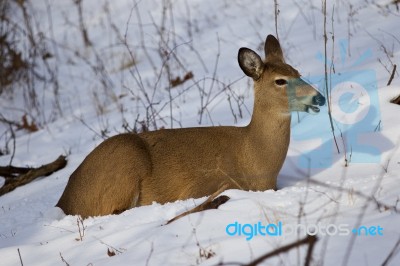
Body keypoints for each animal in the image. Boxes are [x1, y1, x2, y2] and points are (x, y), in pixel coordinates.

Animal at [56, 34, 324, 218]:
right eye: (280, 81)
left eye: (297, 71)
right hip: (124, 160)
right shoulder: (204, 185)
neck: (255, 159)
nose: (319, 98)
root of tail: (64, 201)